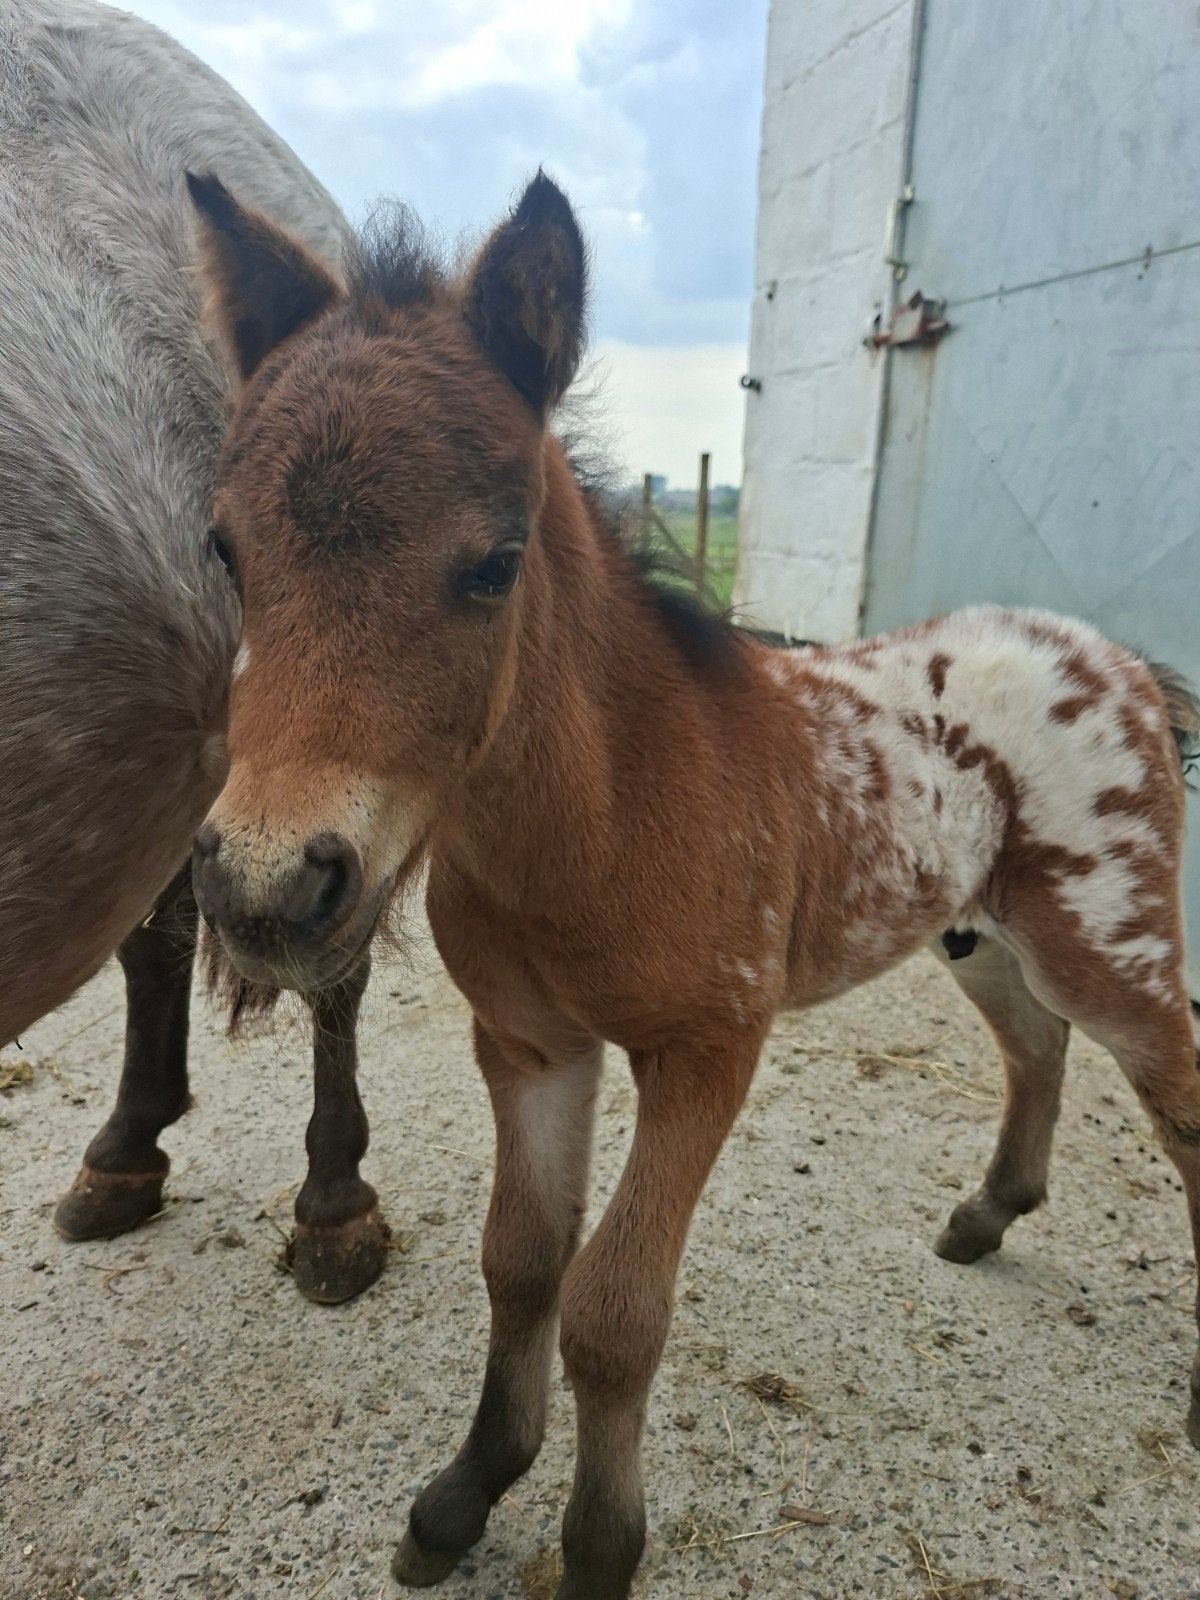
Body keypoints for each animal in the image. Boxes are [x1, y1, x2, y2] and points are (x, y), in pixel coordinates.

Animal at [185, 169, 1200, 1600]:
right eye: (227, 550)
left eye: (494, 563)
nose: (269, 890)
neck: (605, 812)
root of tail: (1118, 659)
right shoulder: (529, 1044)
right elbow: (521, 1261)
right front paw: (467, 1488)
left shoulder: (709, 1045)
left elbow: (614, 1308)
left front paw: (599, 1544)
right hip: (977, 928)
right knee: (1032, 1042)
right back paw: (986, 1214)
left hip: (1107, 938)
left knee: (1175, 1096)